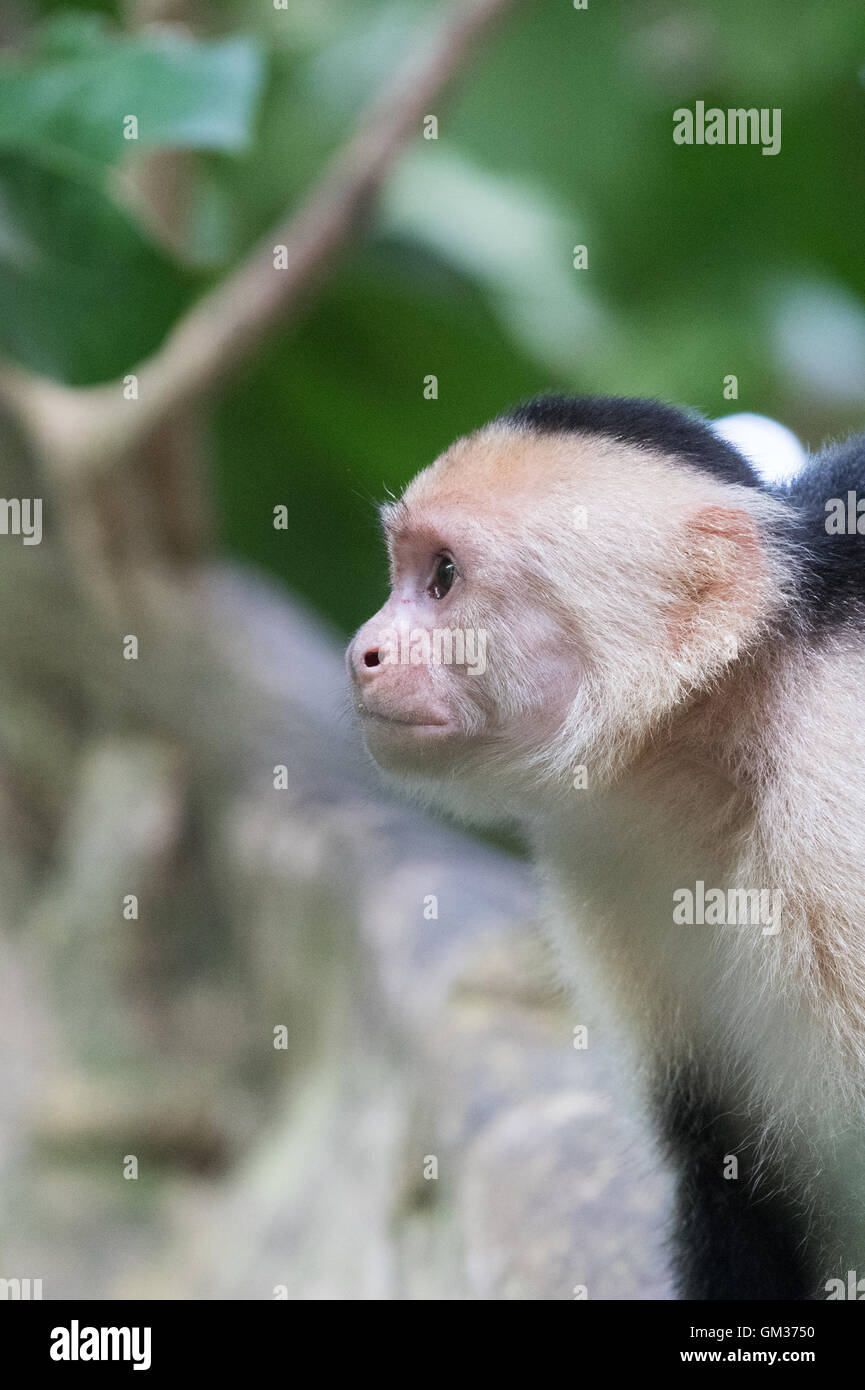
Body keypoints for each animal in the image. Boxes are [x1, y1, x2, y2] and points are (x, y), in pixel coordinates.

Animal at [349, 394, 865, 1301]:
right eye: (401, 573)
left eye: (442, 577)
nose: (361, 652)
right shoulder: (612, 852)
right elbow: (725, 1165)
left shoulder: (836, 784)